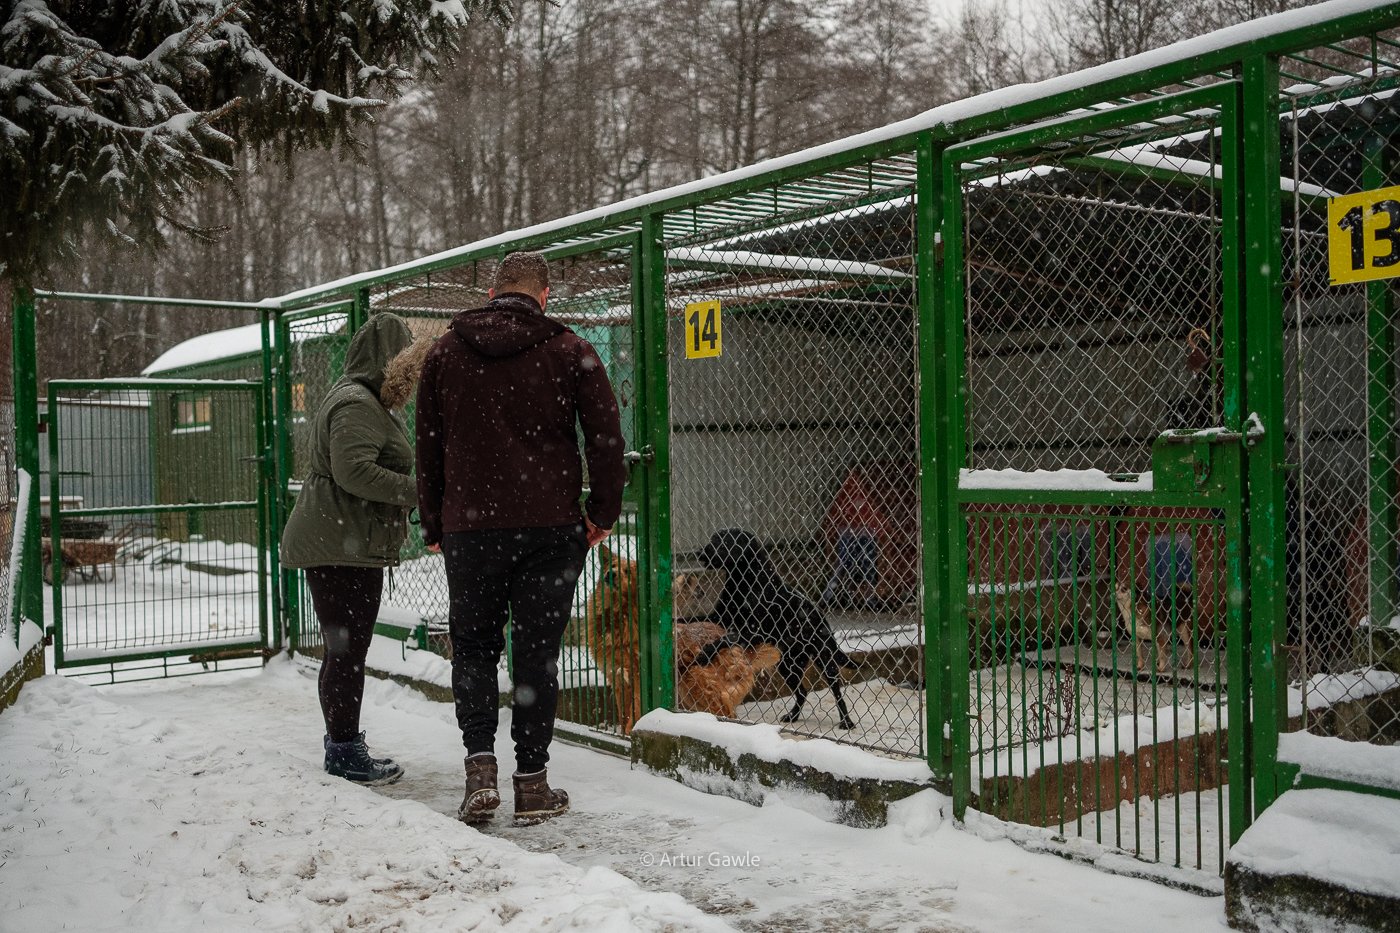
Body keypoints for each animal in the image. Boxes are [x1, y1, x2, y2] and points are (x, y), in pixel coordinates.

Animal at [697, 526, 856, 728]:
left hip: (825, 660)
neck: (743, 582)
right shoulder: (717, 618)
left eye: (724, 542)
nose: (699, 553)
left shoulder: (753, 632)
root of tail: (820, 615)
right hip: (787, 665)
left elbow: (724, 638)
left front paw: (706, 653)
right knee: (802, 692)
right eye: (713, 538)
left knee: (837, 692)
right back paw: (792, 716)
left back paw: (846, 721)